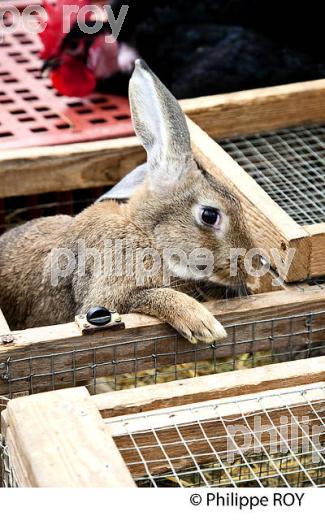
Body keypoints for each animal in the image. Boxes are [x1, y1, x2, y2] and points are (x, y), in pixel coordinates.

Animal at [0, 60, 253, 342]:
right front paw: (202, 322)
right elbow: (146, 296)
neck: (145, 233)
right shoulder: (106, 294)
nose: (248, 269)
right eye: (209, 215)